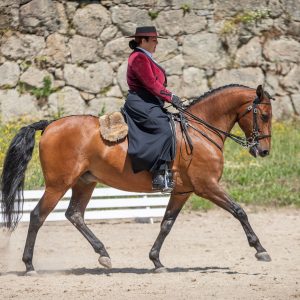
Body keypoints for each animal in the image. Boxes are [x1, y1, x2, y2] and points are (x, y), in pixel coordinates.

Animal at [0, 83, 274, 274]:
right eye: (264, 115)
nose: (263, 151)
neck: (200, 131)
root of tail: (50, 124)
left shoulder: (182, 191)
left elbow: (166, 224)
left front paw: (156, 260)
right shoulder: (207, 186)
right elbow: (239, 211)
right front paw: (260, 250)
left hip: (85, 182)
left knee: (75, 215)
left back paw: (103, 254)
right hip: (58, 184)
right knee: (38, 216)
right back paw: (29, 266)